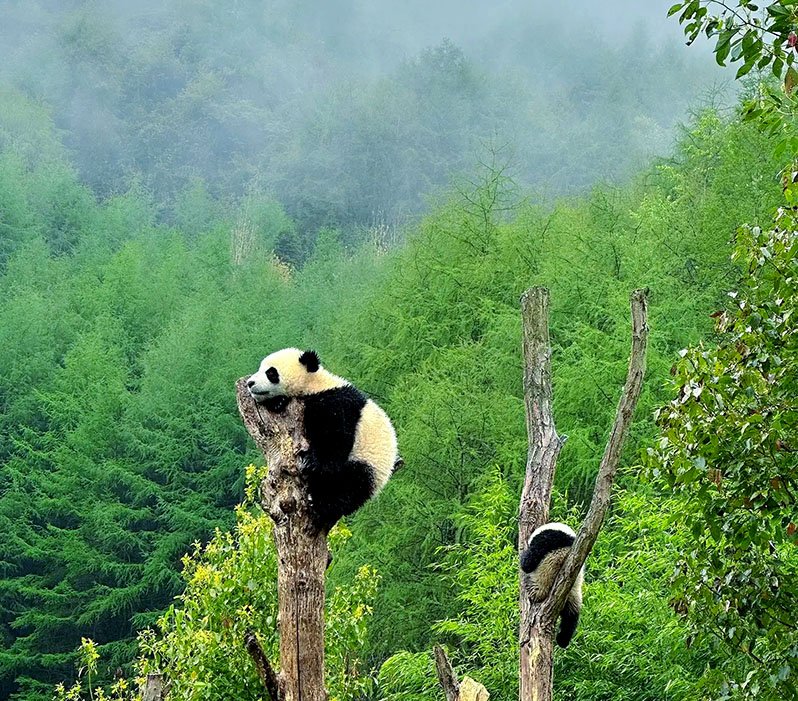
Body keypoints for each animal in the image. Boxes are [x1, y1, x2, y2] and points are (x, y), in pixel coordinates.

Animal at [246, 348, 397, 532]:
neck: (314, 384)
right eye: (261, 368)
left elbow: (335, 439)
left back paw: (322, 503)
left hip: (367, 463)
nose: (250, 383)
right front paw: (278, 401)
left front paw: (310, 462)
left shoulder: (335, 403)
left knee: (349, 485)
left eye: (271, 373)